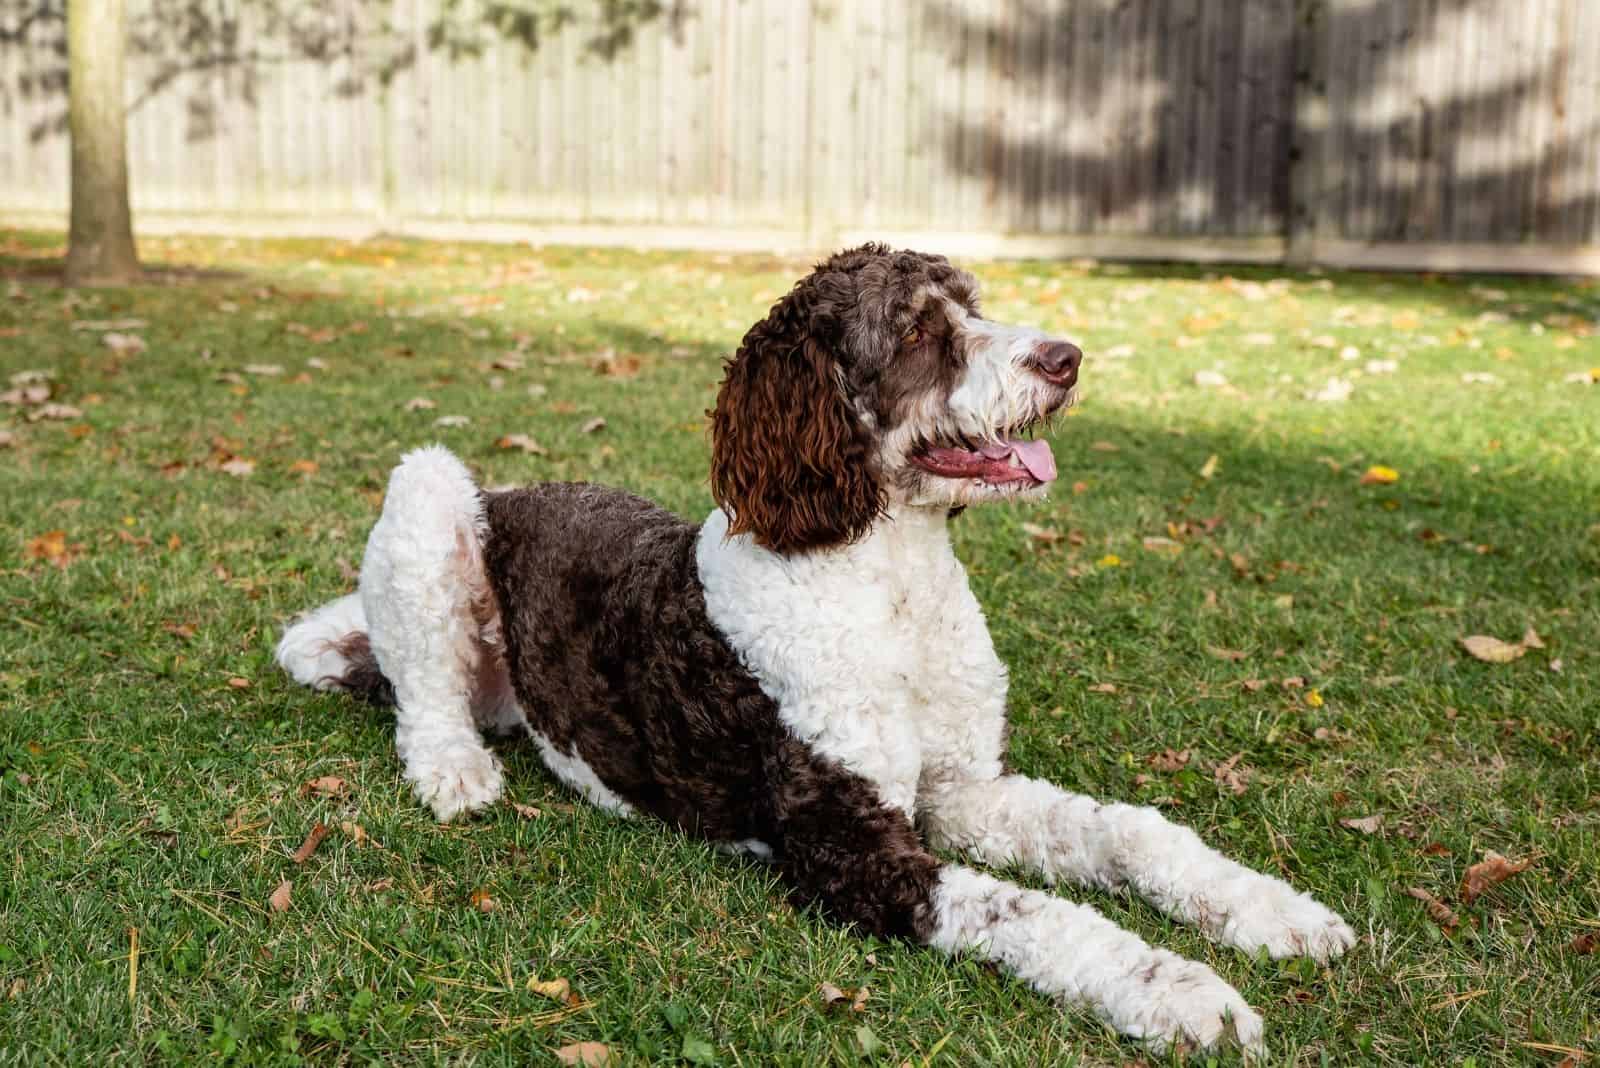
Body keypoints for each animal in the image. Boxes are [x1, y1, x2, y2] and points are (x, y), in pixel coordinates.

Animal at [278, 246, 1350, 1055]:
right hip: (428, 492)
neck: (892, 584)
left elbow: (1130, 833)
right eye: (914, 332)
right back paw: (453, 773)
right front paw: (1180, 990)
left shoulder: (961, 788)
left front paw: (1272, 911)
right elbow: (1034, 914)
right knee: (423, 694)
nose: (1068, 357)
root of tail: (511, 494)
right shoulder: (851, 845)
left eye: (973, 304)